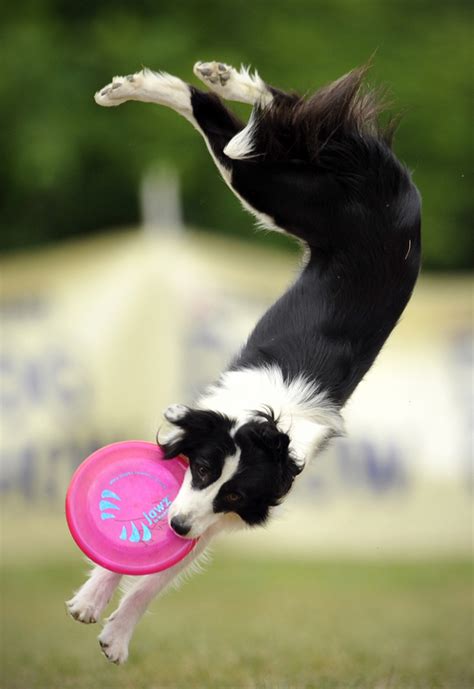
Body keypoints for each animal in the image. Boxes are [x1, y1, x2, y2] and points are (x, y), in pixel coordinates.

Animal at [66, 59, 422, 660]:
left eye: (233, 490)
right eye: (205, 469)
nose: (178, 527)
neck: (266, 423)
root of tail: (392, 178)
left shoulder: (218, 515)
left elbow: (158, 574)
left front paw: (114, 630)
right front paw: (93, 599)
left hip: (285, 191)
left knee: (243, 127)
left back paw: (181, 82)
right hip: (281, 192)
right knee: (258, 121)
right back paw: (177, 82)